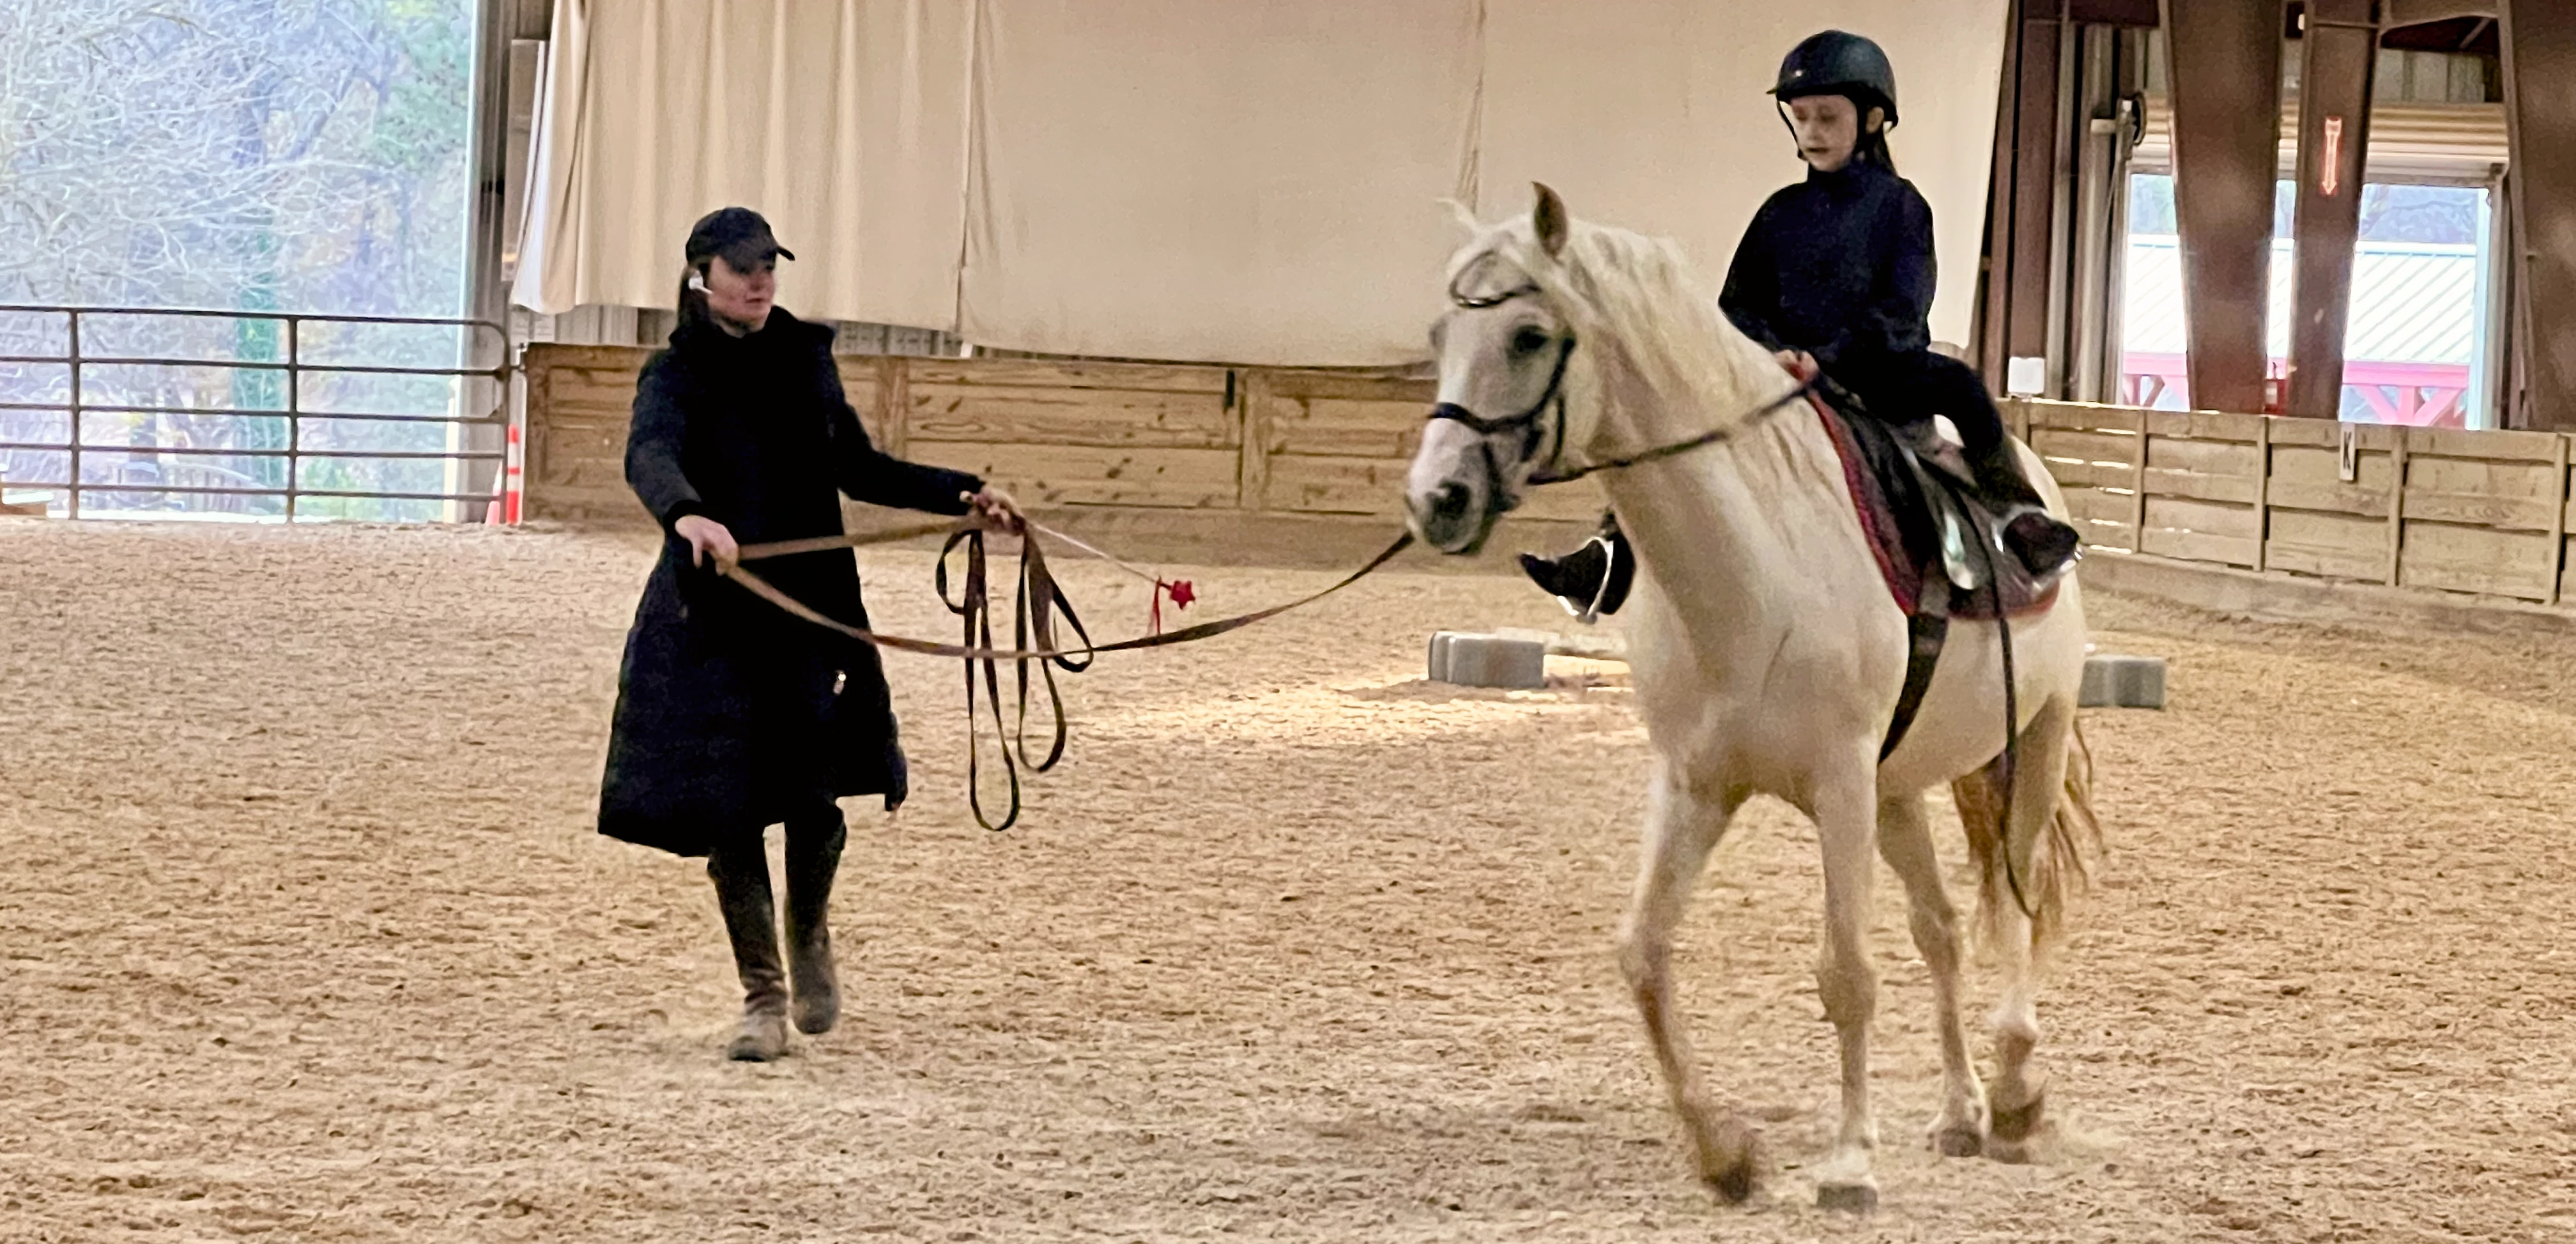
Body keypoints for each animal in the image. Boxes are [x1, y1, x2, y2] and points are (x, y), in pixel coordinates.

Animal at [1402, 184, 2099, 1210]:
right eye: (1442, 330)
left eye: (1529, 336)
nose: (1438, 498)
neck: (1757, 561)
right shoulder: (1698, 784)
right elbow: (1644, 955)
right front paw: (1724, 1151)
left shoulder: (1840, 785)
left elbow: (1846, 973)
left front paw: (1849, 1164)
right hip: (1899, 789)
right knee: (1939, 929)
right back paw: (1960, 1111)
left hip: (2034, 741)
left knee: (2014, 895)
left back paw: (2013, 1092)